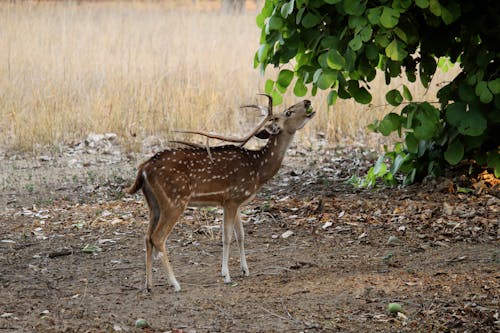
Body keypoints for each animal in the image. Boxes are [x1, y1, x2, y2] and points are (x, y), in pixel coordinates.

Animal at [126, 94, 312, 290]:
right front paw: (226, 275)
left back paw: (149, 285)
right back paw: (175, 283)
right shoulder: (232, 198)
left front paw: (245, 270)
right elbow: (227, 236)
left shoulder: (235, 201)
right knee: (158, 237)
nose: (307, 101)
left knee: (147, 237)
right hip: (174, 201)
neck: (258, 170)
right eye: (288, 112)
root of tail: (144, 169)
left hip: (153, 204)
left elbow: (241, 235)